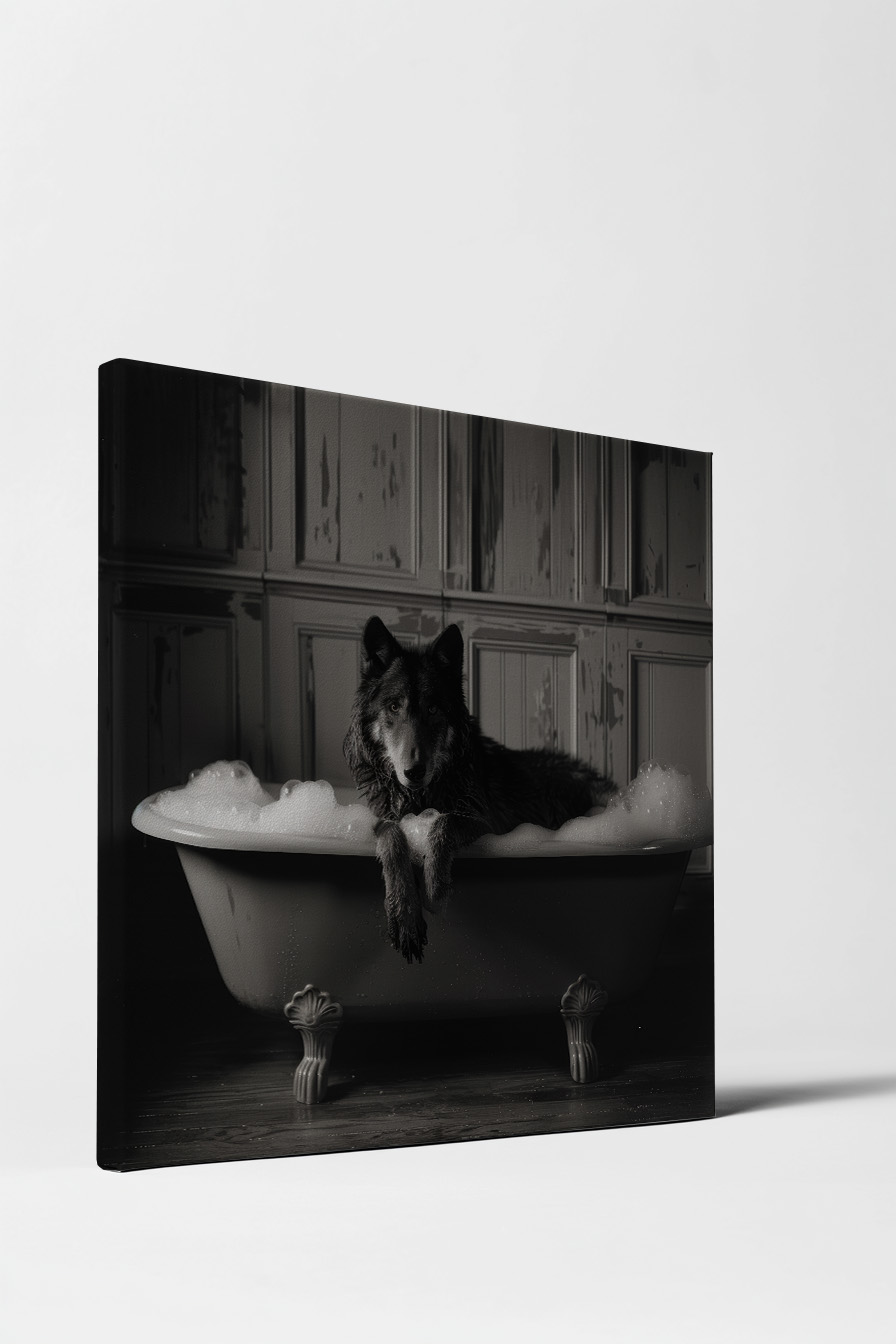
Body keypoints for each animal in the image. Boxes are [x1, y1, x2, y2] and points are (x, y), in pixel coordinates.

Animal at [343, 616, 615, 963]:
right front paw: (405, 913)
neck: (420, 797)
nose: (414, 771)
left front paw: (434, 887)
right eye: (393, 707)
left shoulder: (486, 822)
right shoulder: (378, 817)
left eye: (433, 710)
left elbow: (443, 823)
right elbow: (391, 835)